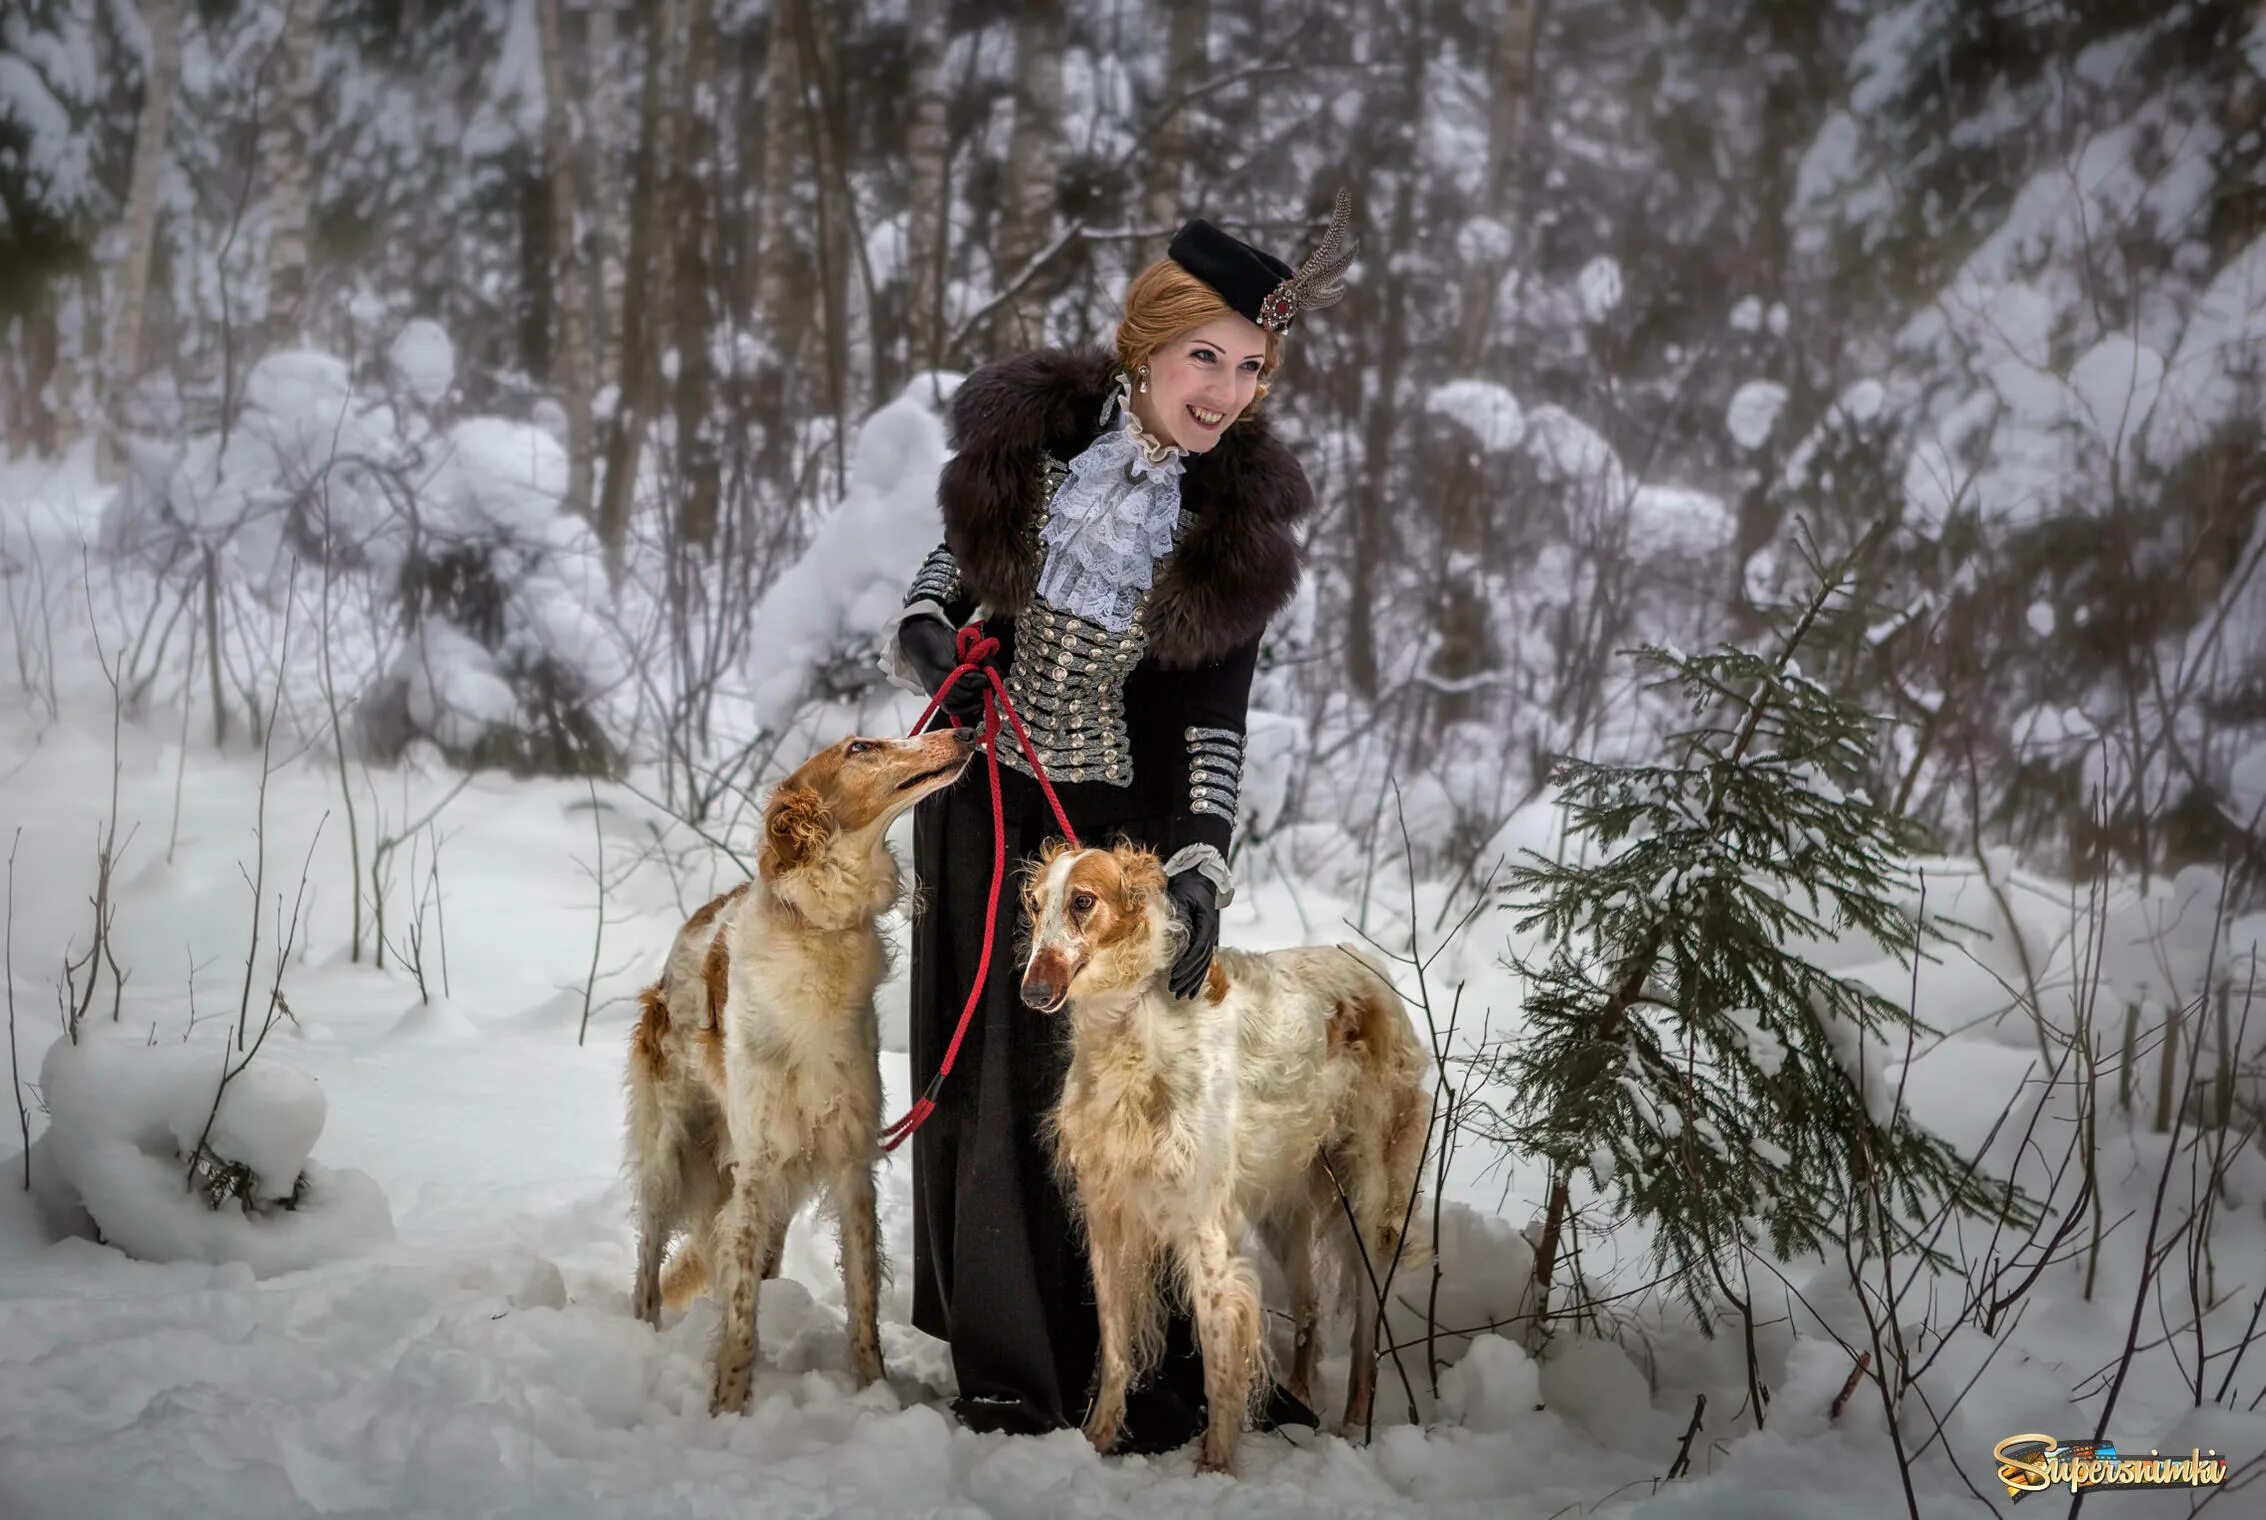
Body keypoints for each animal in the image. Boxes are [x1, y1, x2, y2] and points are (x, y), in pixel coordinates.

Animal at [629, 724, 974, 1413]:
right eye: (860, 748)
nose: (963, 728)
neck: (821, 934)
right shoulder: (757, 1167)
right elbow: (740, 1318)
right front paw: (728, 1409)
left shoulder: (850, 1159)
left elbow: (863, 1306)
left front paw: (875, 1397)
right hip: (667, 1150)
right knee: (649, 1256)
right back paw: (643, 1334)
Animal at [1028, 842, 1432, 1476]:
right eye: (1034, 902)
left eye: (1083, 901)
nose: (1034, 991)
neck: (1131, 1030)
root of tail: (1369, 967)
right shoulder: (1109, 1221)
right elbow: (1116, 1351)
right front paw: (1095, 1442)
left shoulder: (1208, 1234)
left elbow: (1221, 1369)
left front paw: (1214, 1470)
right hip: (1283, 1209)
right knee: (1310, 1311)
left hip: (1363, 1205)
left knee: (1366, 1333)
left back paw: (1352, 1428)